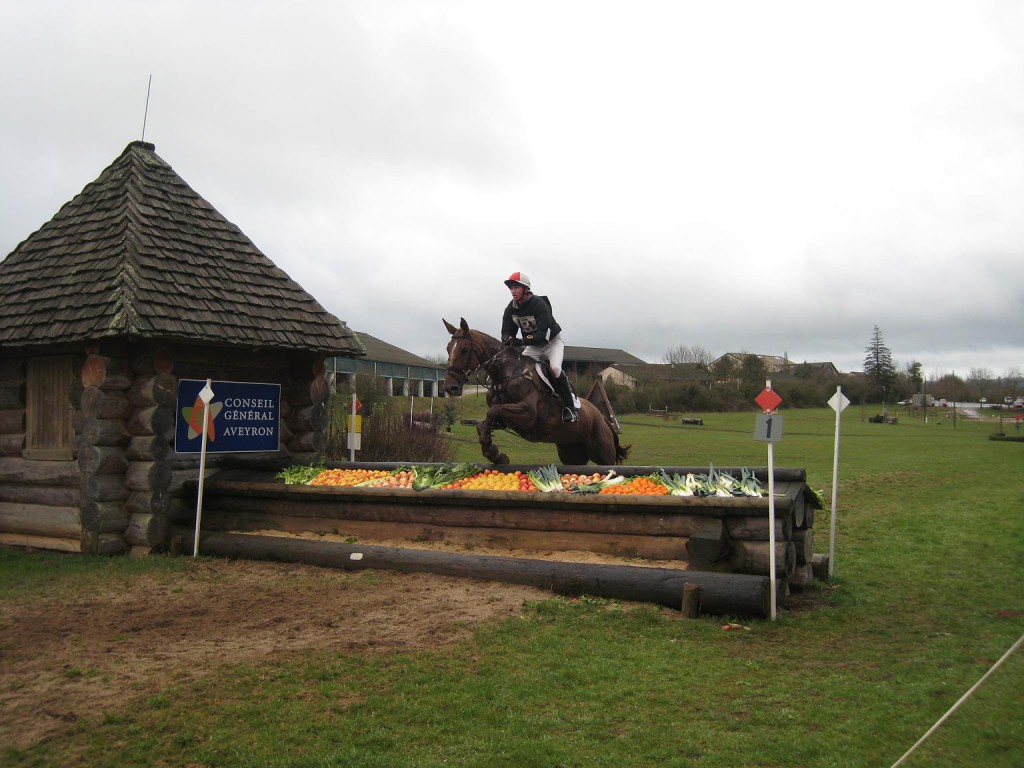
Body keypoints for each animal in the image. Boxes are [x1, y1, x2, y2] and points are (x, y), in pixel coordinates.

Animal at [442, 315, 626, 466]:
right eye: (448, 349)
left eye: (464, 350)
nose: (450, 387)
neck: (507, 375)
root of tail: (603, 418)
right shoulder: (504, 419)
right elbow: (483, 423)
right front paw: (495, 454)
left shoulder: (528, 414)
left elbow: (493, 411)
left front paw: (494, 451)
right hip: (570, 451)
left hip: (603, 453)